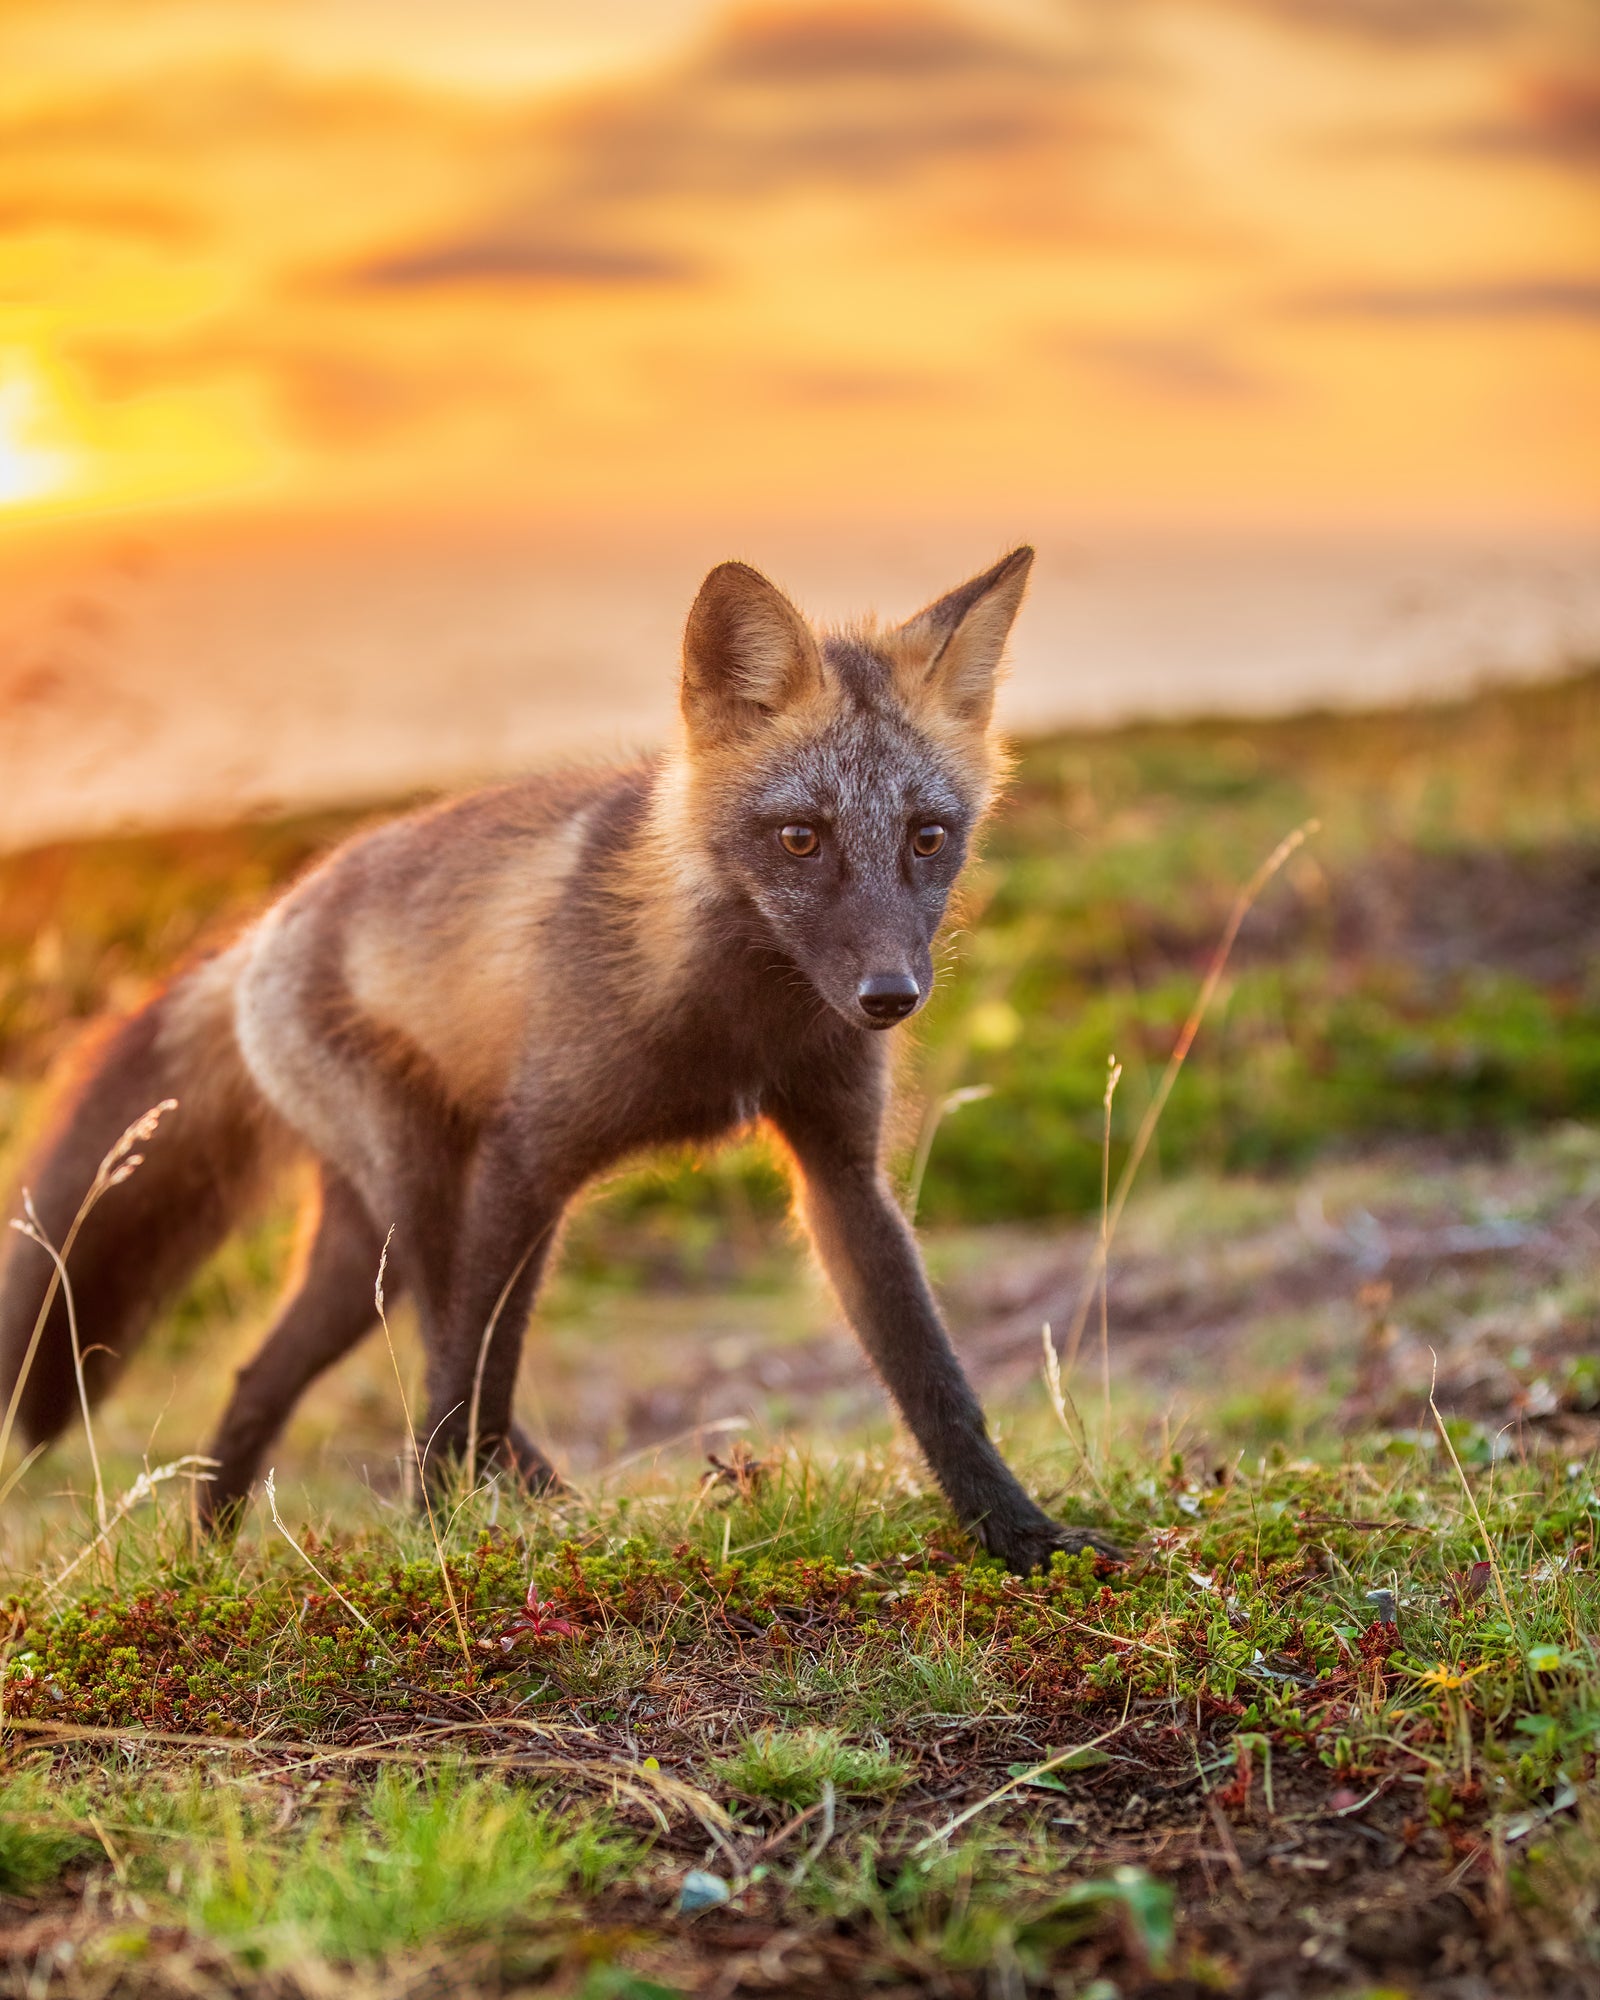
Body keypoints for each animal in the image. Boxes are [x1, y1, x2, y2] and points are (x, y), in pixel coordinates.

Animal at [0, 548, 1121, 1573]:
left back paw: (211, 1553)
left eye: (928, 837)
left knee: (258, 1377)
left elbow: (933, 1376)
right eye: (801, 838)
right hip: (419, 1195)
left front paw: (1017, 1533)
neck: (738, 1019)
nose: (889, 997)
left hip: (362, 1246)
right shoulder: (529, 1154)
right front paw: (444, 1535)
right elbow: (477, 1365)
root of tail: (261, 926)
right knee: (431, 1344)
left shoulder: (838, 1167)